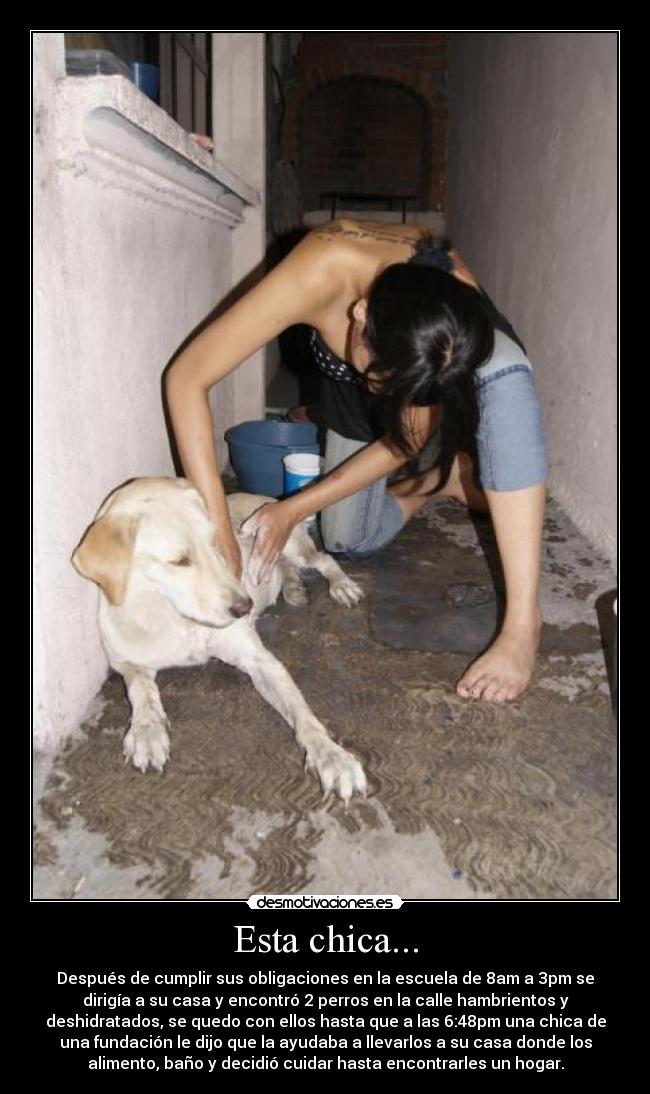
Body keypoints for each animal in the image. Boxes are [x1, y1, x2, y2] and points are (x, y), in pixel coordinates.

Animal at [72, 479, 363, 805]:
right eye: (180, 561)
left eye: (215, 543)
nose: (245, 607)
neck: (171, 616)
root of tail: (269, 498)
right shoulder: (126, 661)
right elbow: (141, 691)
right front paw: (147, 731)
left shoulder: (260, 661)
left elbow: (303, 714)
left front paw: (333, 757)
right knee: (285, 567)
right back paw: (292, 586)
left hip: (290, 543)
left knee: (324, 559)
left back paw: (341, 585)